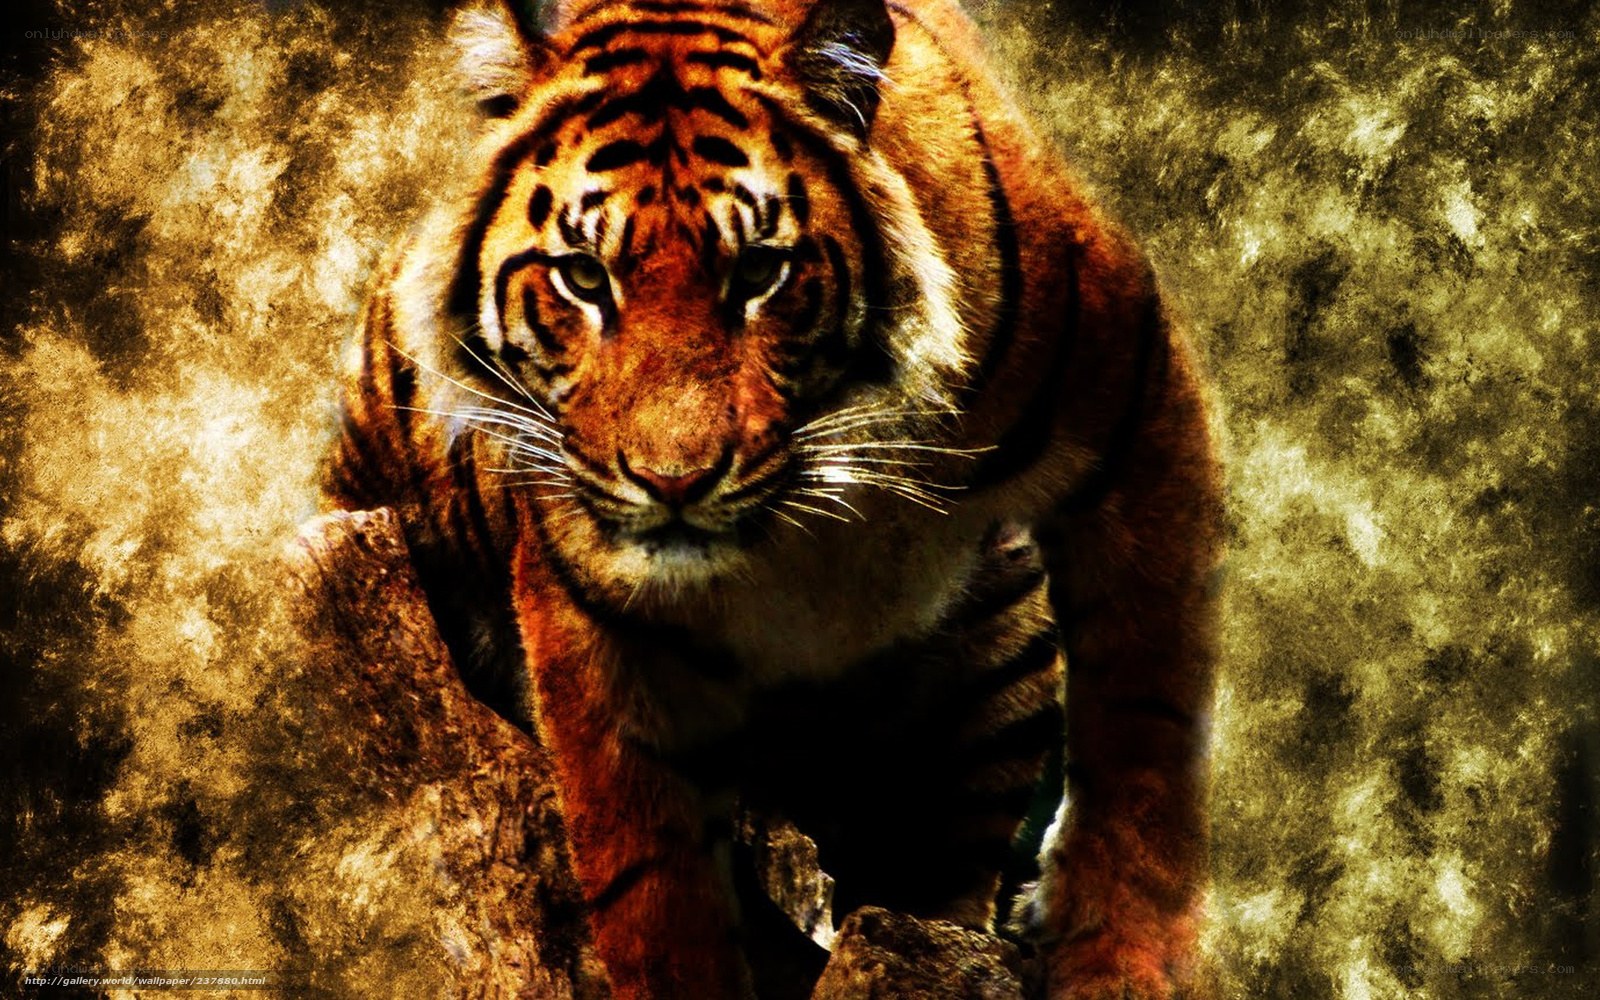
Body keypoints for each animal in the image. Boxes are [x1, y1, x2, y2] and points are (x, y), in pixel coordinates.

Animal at [325, 0, 1222, 997]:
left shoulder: (1137, 414)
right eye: (584, 277)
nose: (673, 481)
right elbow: (651, 879)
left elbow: (1144, 735)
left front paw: (1116, 962)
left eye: (758, 273)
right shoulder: (590, 603)